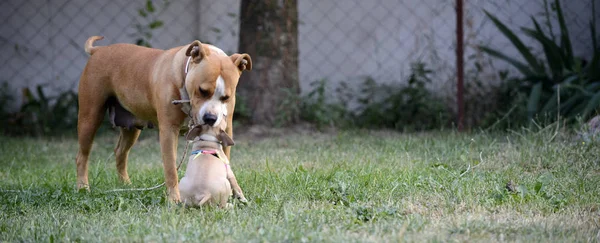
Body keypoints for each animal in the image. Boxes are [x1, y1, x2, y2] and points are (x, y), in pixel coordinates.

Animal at [77, 36, 251, 202]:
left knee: (120, 152)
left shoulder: (226, 129)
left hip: (131, 128)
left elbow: (225, 163)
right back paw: (83, 188)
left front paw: (236, 194)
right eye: (202, 90)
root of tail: (99, 50)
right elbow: (171, 169)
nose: (210, 117)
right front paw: (174, 199)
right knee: (82, 156)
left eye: (226, 97)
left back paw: (125, 184)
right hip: (89, 118)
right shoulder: (169, 131)